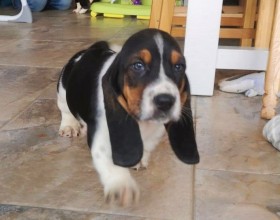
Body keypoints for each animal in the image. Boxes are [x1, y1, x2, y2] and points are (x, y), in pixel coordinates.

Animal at [57, 28, 199, 206]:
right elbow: (111, 163)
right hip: (62, 89)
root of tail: (92, 49)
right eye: (138, 66)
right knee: (65, 109)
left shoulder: (155, 131)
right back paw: (70, 125)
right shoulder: (103, 135)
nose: (166, 101)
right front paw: (122, 185)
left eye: (179, 67)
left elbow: (146, 145)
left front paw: (139, 159)